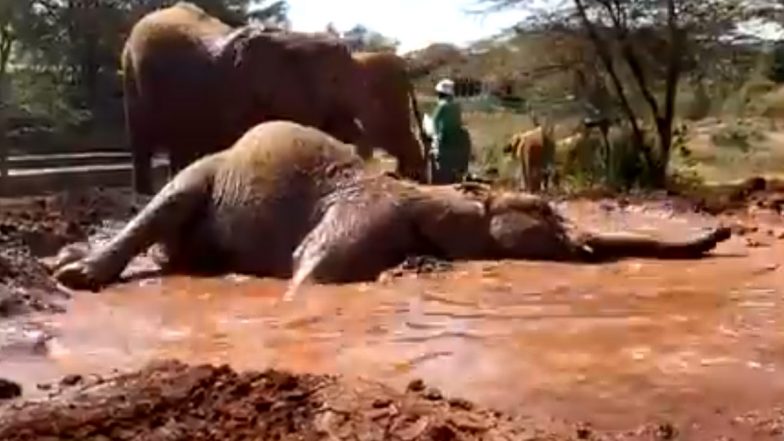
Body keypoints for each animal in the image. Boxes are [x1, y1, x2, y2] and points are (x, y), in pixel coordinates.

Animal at [52, 120, 732, 292]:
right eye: (543, 214)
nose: (723, 232)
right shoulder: (369, 212)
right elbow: (314, 271)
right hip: (206, 173)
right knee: (170, 199)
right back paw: (74, 274)